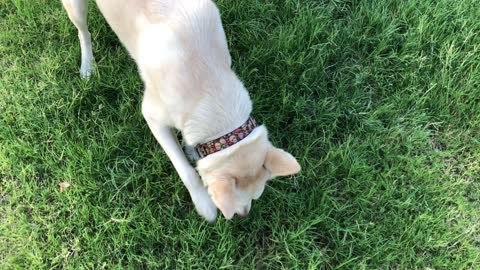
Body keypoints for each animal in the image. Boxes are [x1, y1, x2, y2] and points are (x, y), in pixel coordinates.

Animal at [60, 0, 300, 221]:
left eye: (256, 196)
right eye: (237, 203)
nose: (244, 215)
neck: (209, 85)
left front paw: (191, 148)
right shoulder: (153, 118)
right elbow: (186, 171)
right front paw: (204, 204)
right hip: (76, 8)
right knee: (83, 32)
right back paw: (87, 66)